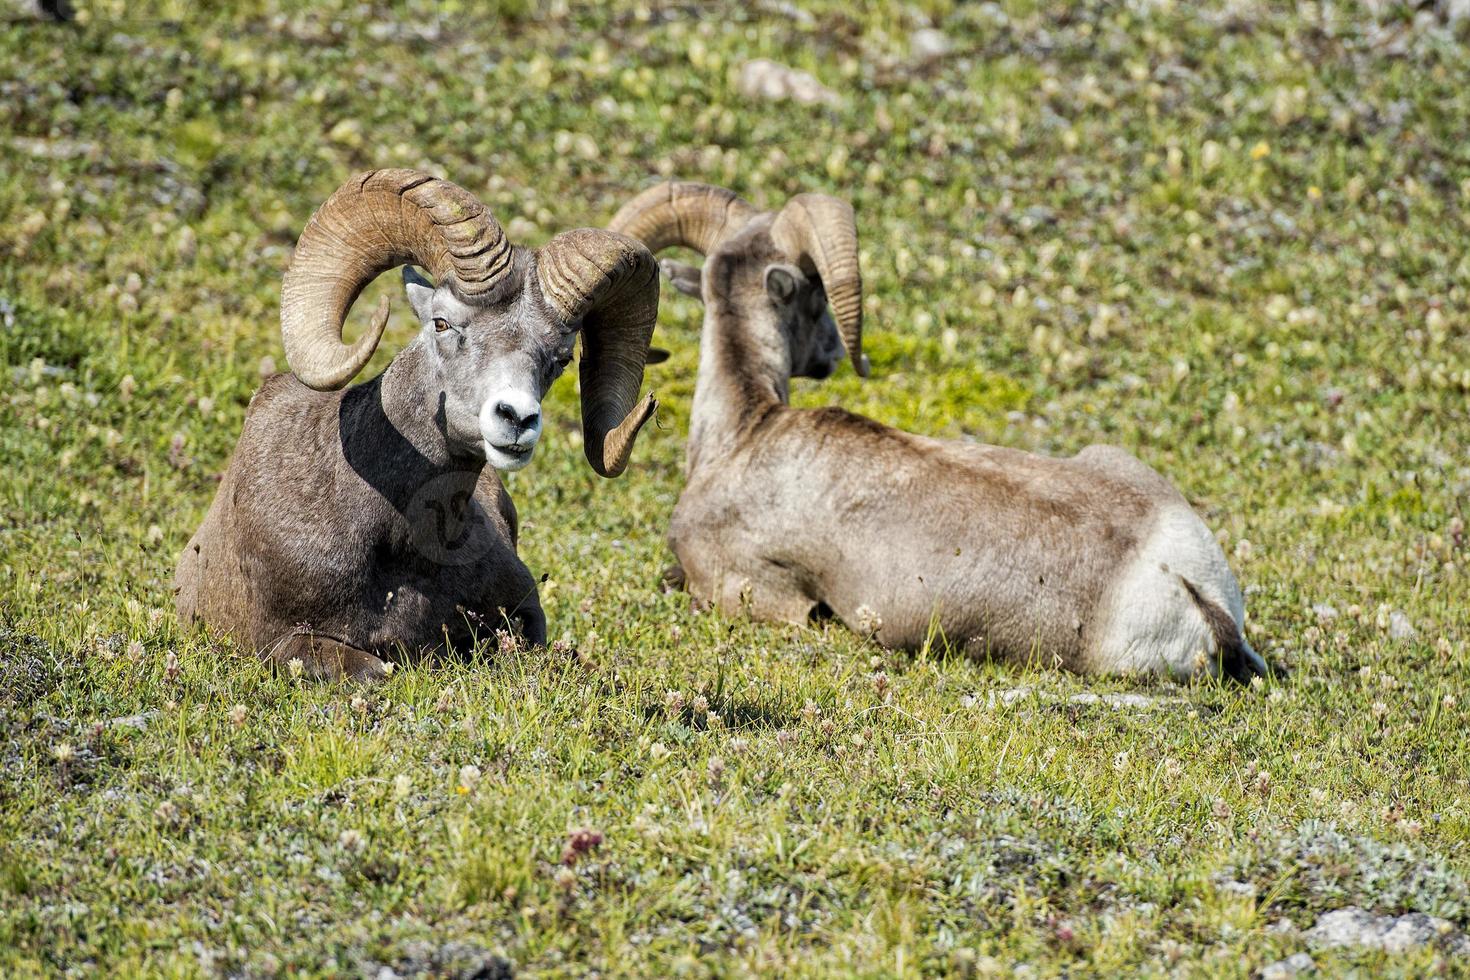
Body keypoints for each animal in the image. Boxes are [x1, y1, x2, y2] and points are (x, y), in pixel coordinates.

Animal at [174, 170, 658, 681]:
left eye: (561, 358)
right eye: (442, 323)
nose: (517, 418)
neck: (398, 543)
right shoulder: (282, 643)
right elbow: (376, 669)